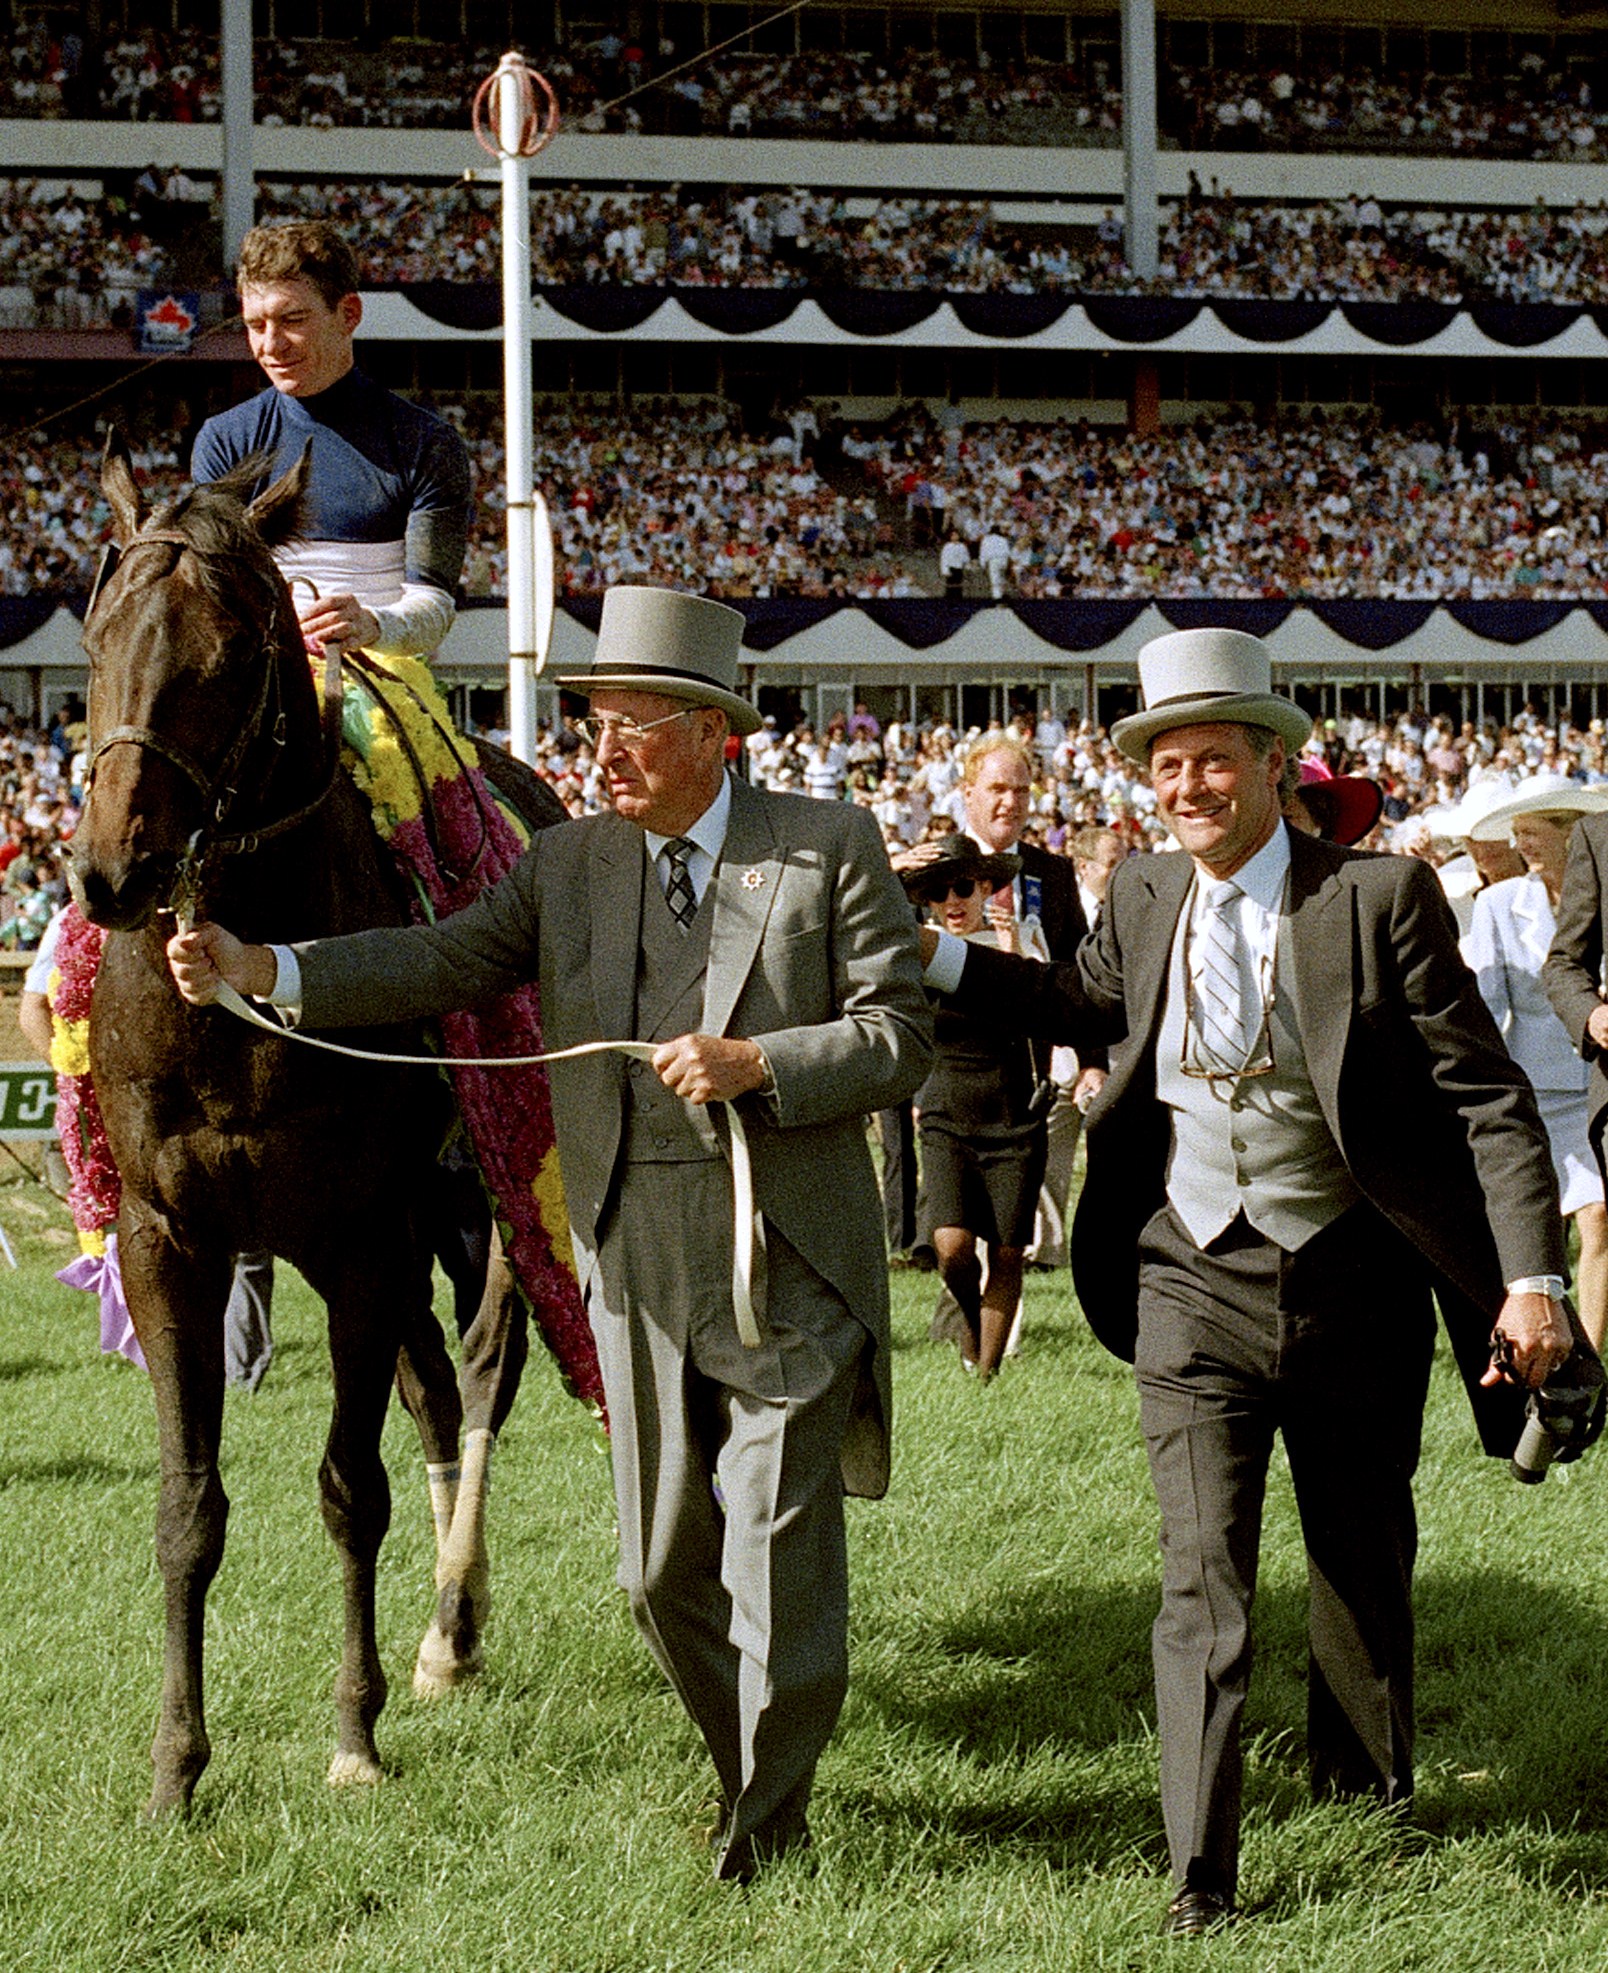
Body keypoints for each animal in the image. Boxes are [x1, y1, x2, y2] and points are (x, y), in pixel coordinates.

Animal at [70, 443, 572, 1815]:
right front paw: (176, 1764)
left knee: (486, 1367)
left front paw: (352, 1732)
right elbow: (187, 1506)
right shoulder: (169, 1238)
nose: (113, 872)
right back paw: (454, 1632)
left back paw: (449, 1613)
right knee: (437, 1388)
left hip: (489, 1191)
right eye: (93, 634)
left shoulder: (357, 1234)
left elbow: (352, 1485)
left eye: (236, 651)